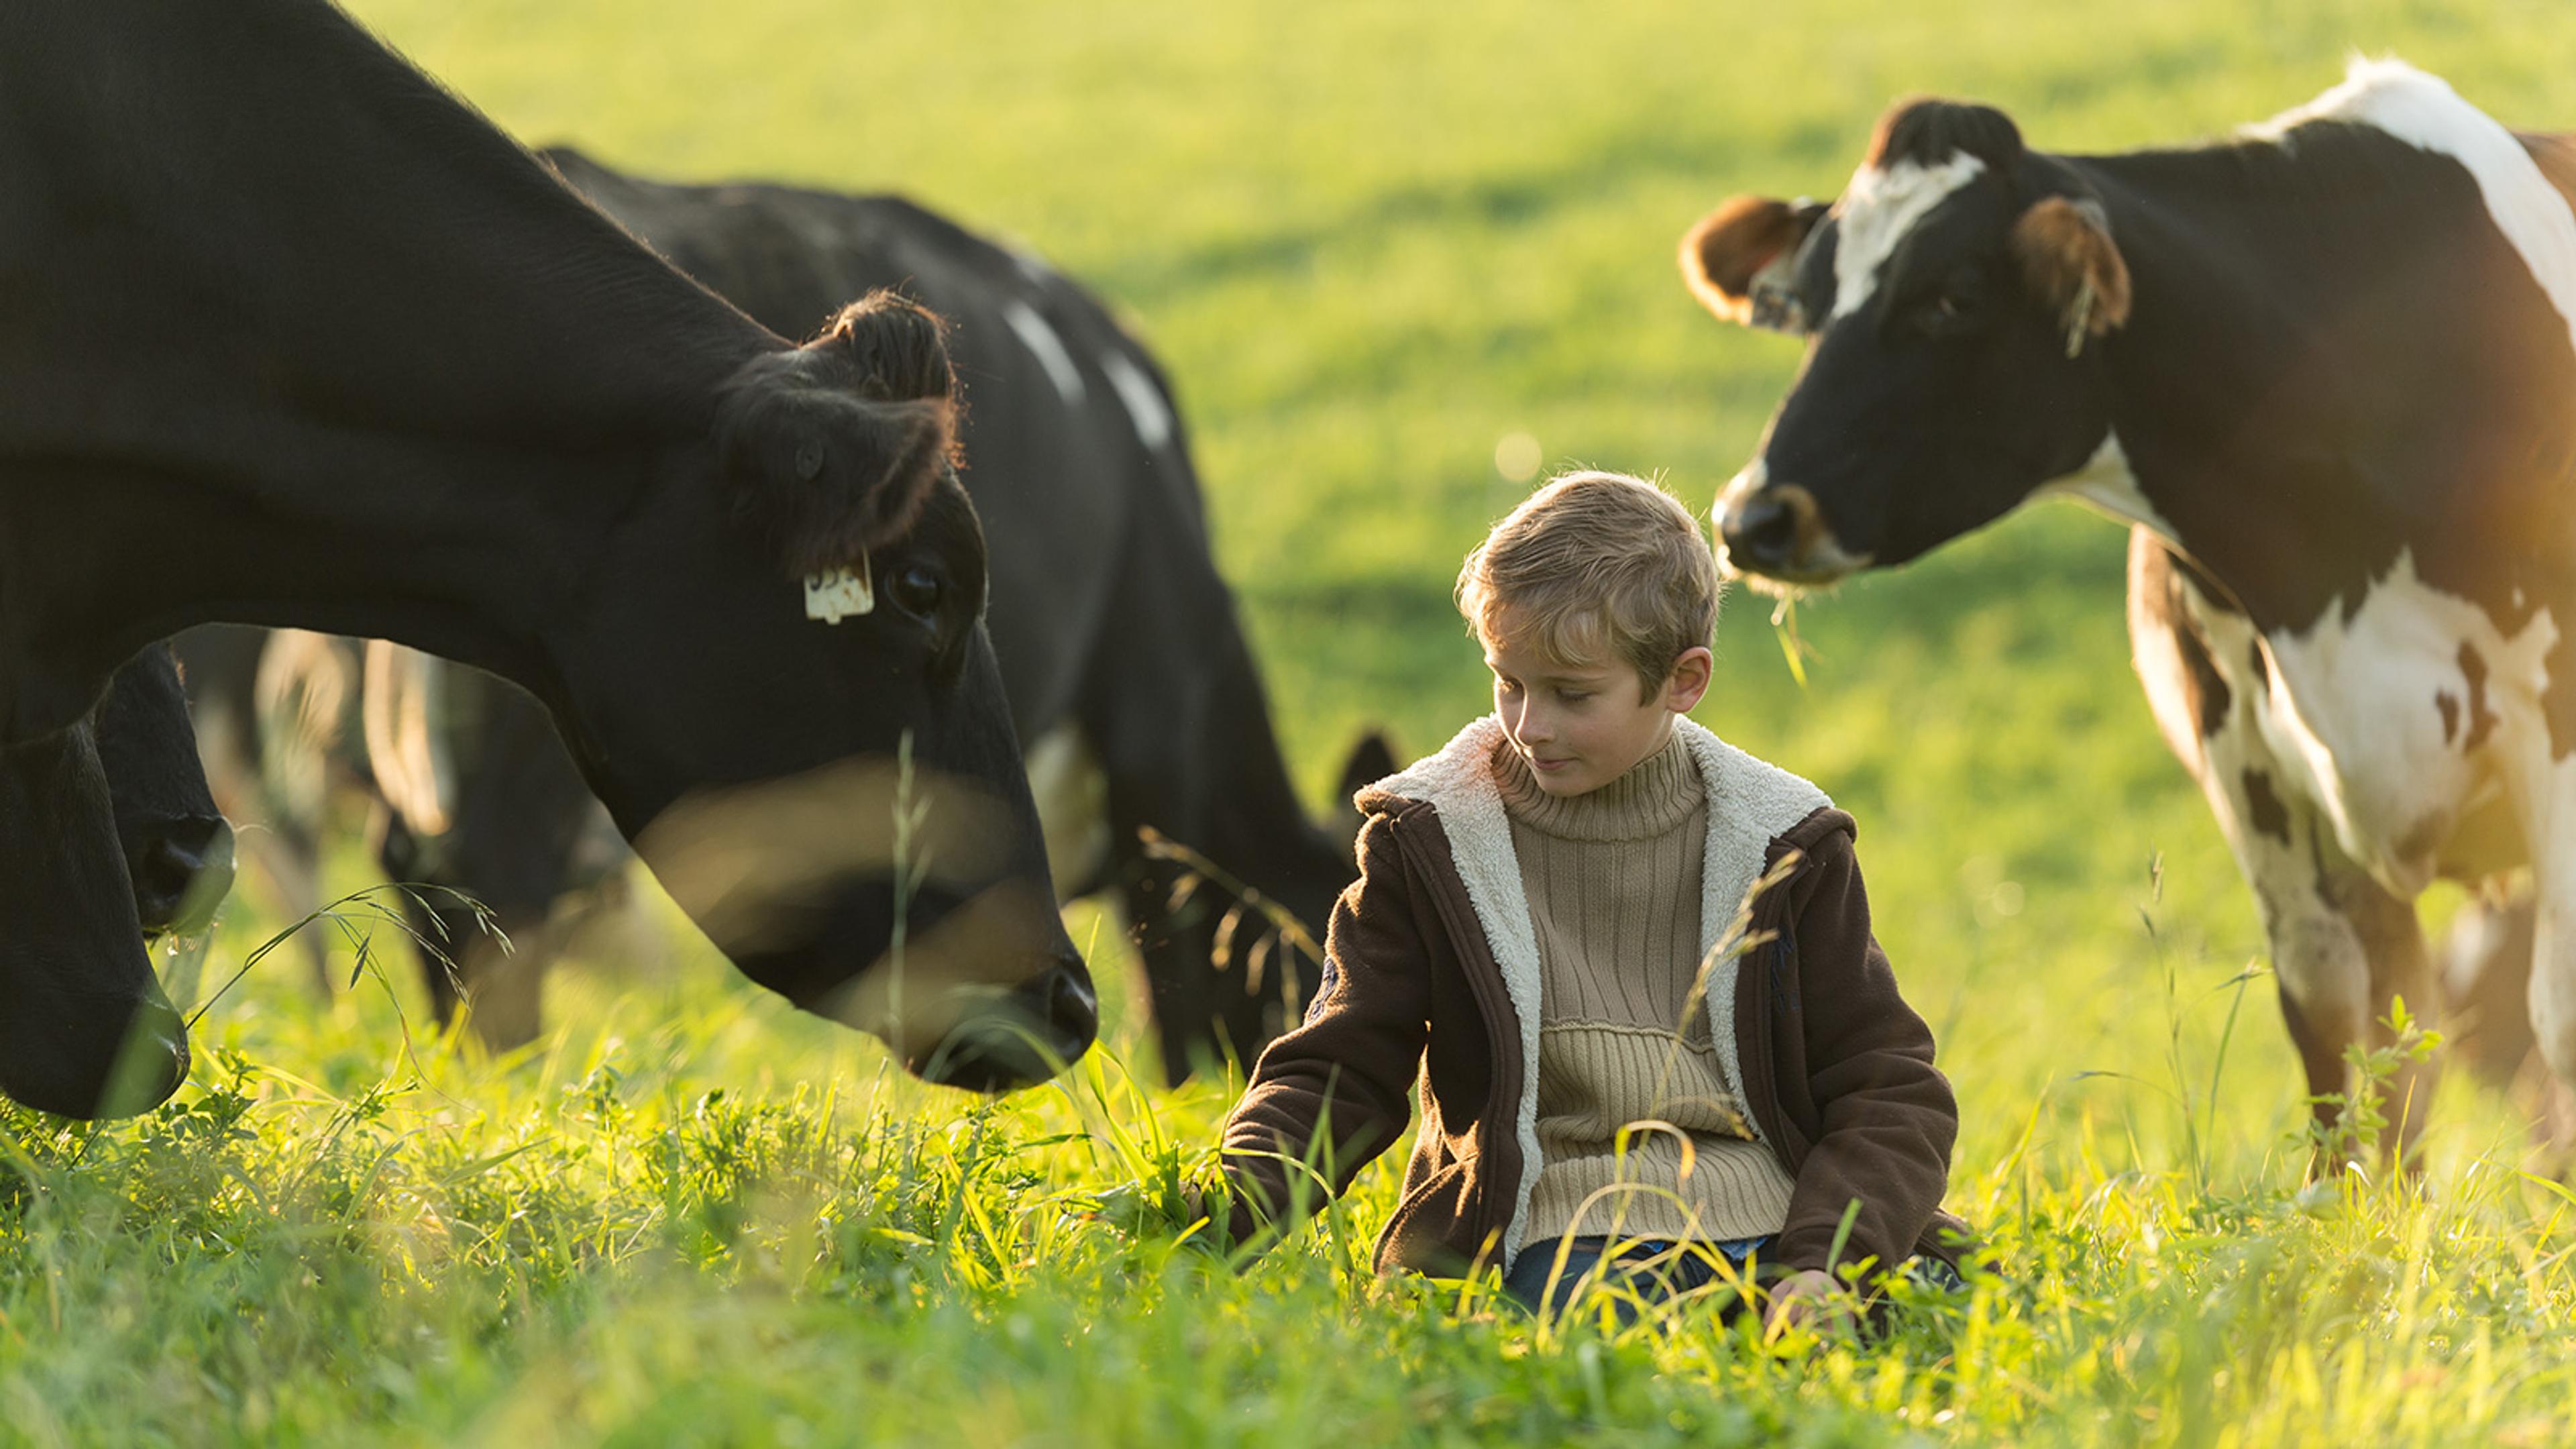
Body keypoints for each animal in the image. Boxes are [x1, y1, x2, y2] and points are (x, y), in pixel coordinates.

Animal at [1677, 59, 2576, 1162]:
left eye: (1953, 297)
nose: (1752, 515)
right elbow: (2351, 1039)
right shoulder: (2248, 754)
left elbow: (2551, 1020)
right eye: (1804, 306)